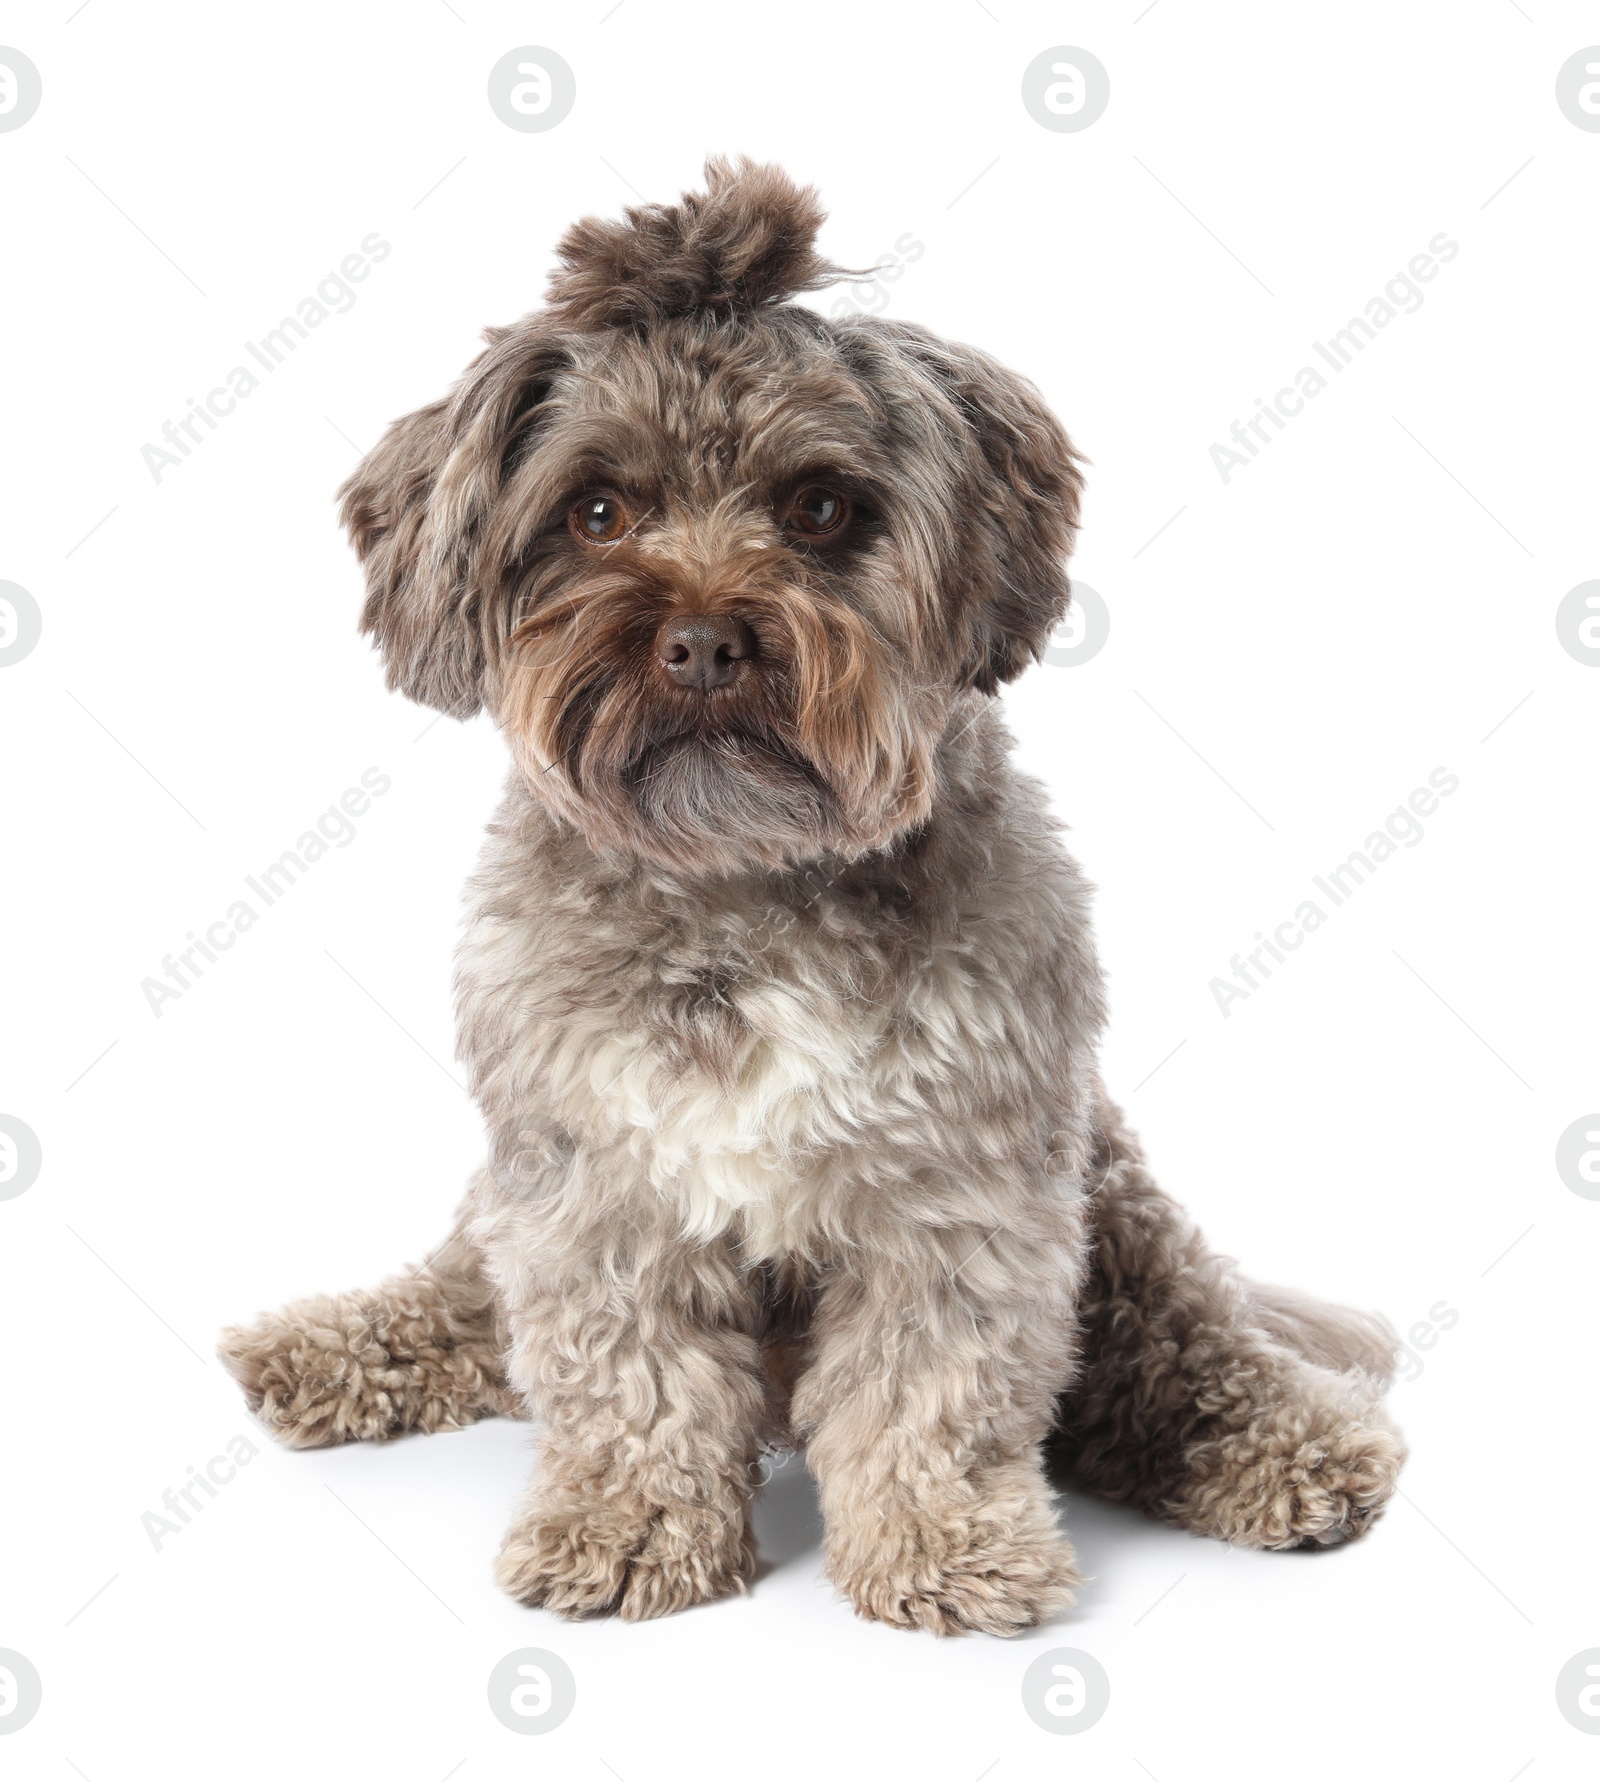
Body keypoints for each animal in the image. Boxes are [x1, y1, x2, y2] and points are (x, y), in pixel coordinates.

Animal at [220, 160, 1396, 1632]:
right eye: (596, 512)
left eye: (821, 508)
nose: (703, 638)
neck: (746, 881)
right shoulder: (592, 1182)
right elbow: (631, 1375)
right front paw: (627, 1524)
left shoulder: (962, 1186)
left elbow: (930, 1385)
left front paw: (945, 1540)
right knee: (467, 1299)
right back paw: (320, 1348)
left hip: (1114, 1201)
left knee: (1180, 1352)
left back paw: (1292, 1447)